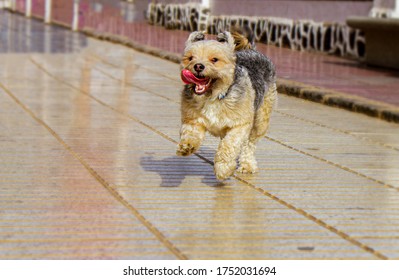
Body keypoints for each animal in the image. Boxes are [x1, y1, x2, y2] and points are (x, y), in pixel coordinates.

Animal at [177, 30, 276, 179]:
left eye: (214, 59)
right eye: (190, 58)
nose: (198, 66)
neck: (213, 97)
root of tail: (252, 50)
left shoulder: (240, 125)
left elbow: (229, 145)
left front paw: (223, 168)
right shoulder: (192, 119)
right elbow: (191, 133)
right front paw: (187, 146)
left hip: (260, 121)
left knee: (249, 144)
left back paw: (247, 165)